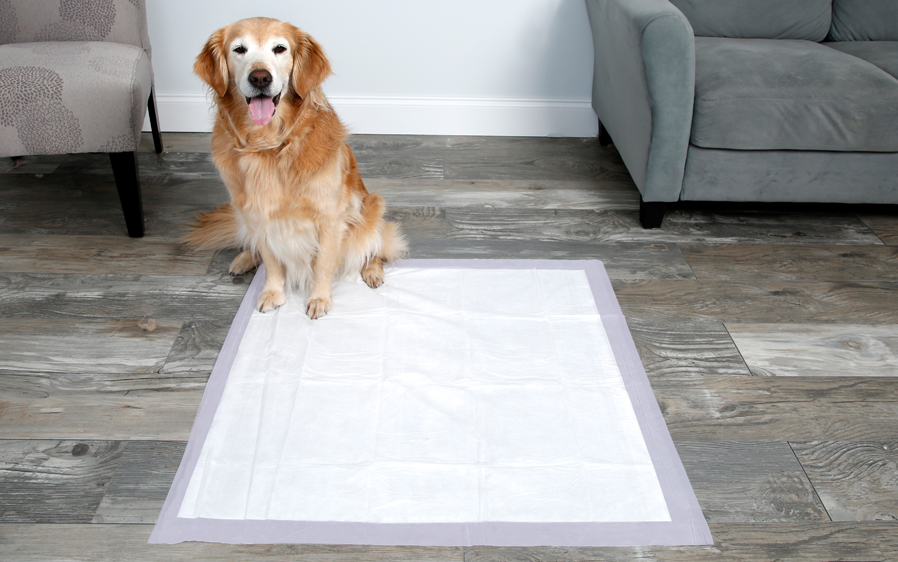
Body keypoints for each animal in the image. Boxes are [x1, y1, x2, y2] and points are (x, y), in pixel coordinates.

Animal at [187, 17, 408, 318]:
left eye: (280, 48)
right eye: (239, 49)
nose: (260, 77)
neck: (268, 146)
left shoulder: (330, 218)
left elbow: (323, 263)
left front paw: (319, 298)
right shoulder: (259, 216)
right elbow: (271, 261)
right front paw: (273, 293)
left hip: (371, 207)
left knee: (372, 247)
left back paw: (373, 271)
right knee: (253, 247)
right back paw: (244, 259)